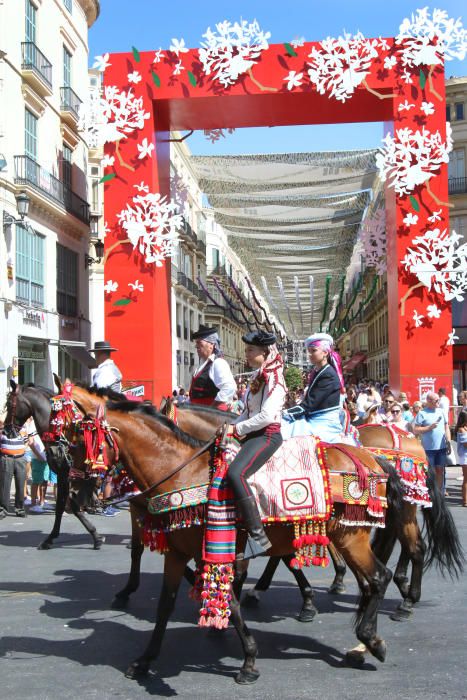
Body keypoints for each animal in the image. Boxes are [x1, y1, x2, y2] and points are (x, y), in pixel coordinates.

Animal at [4, 380, 103, 548]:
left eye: (10, 404)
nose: (5, 431)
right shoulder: (69, 477)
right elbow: (69, 504)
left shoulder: (65, 475)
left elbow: (65, 505)